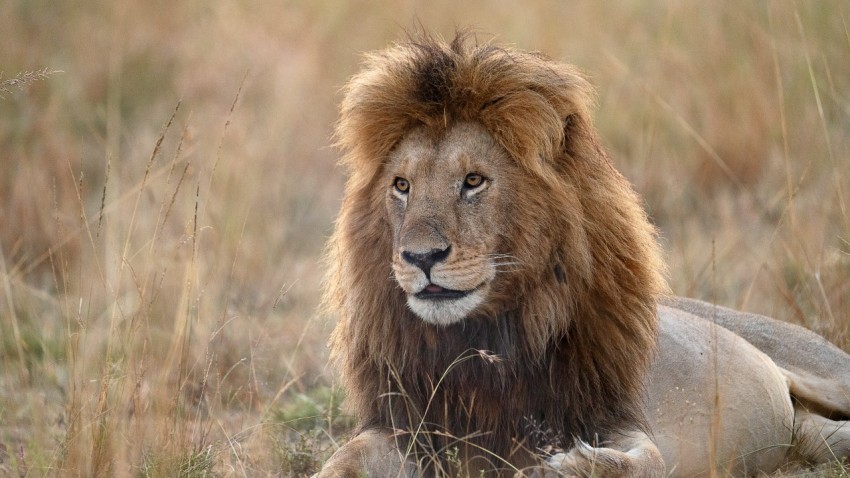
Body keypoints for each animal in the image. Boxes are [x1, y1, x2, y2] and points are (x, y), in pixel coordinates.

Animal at [316, 34, 850, 477]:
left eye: (473, 181)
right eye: (401, 186)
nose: (420, 257)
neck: (483, 343)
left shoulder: (619, 419)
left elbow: (645, 463)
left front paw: (565, 467)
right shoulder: (411, 428)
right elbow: (340, 461)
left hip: (826, 371)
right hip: (808, 435)